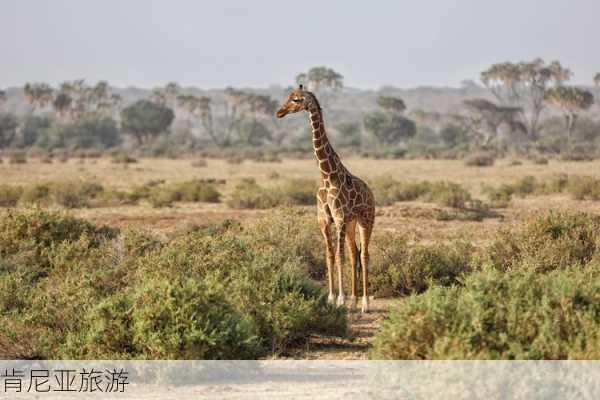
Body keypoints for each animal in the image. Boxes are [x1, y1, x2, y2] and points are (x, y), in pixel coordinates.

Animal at [276, 84, 376, 312]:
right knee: (354, 253)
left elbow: (339, 256)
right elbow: (330, 255)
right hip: (351, 224)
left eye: (296, 99)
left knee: (364, 255)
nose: (279, 112)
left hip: (366, 220)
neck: (327, 176)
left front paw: (340, 299)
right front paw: (332, 298)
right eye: (288, 96)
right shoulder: (324, 220)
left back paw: (365, 303)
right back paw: (355, 300)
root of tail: (371, 193)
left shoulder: (339, 219)